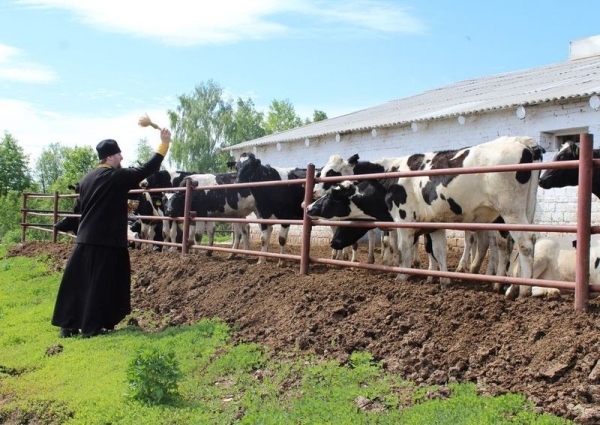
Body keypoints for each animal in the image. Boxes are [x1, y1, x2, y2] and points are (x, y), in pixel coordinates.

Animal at [310, 136, 544, 298]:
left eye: (331, 173)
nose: (310, 202)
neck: (389, 178)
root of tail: (524, 143)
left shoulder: (403, 221)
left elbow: (402, 248)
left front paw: (402, 274)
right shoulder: (432, 223)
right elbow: (435, 250)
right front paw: (438, 278)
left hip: (509, 211)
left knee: (519, 243)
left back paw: (517, 288)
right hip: (520, 211)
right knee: (508, 244)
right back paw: (501, 281)